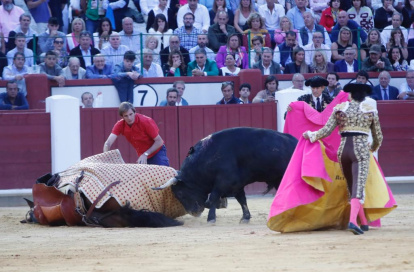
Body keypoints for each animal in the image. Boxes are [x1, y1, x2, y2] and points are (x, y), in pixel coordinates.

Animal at [154, 127, 298, 223]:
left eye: (180, 193)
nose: (193, 213)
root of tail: (295, 141)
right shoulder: (236, 184)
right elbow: (242, 200)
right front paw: (245, 218)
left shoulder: (224, 182)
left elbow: (212, 198)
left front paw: (211, 218)